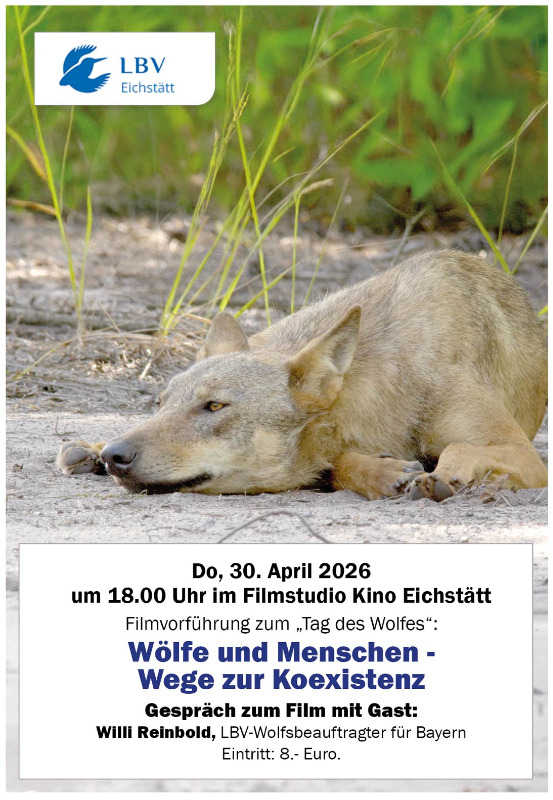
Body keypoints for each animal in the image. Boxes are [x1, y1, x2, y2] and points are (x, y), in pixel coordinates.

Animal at [57, 250, 547, 501]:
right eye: (160, 404)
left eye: (214, 406)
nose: (116, 456)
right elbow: (338, 465)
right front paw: (384, 473)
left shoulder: (527, 458)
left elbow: (460, 447)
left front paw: (442, 474)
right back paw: (87, 450)